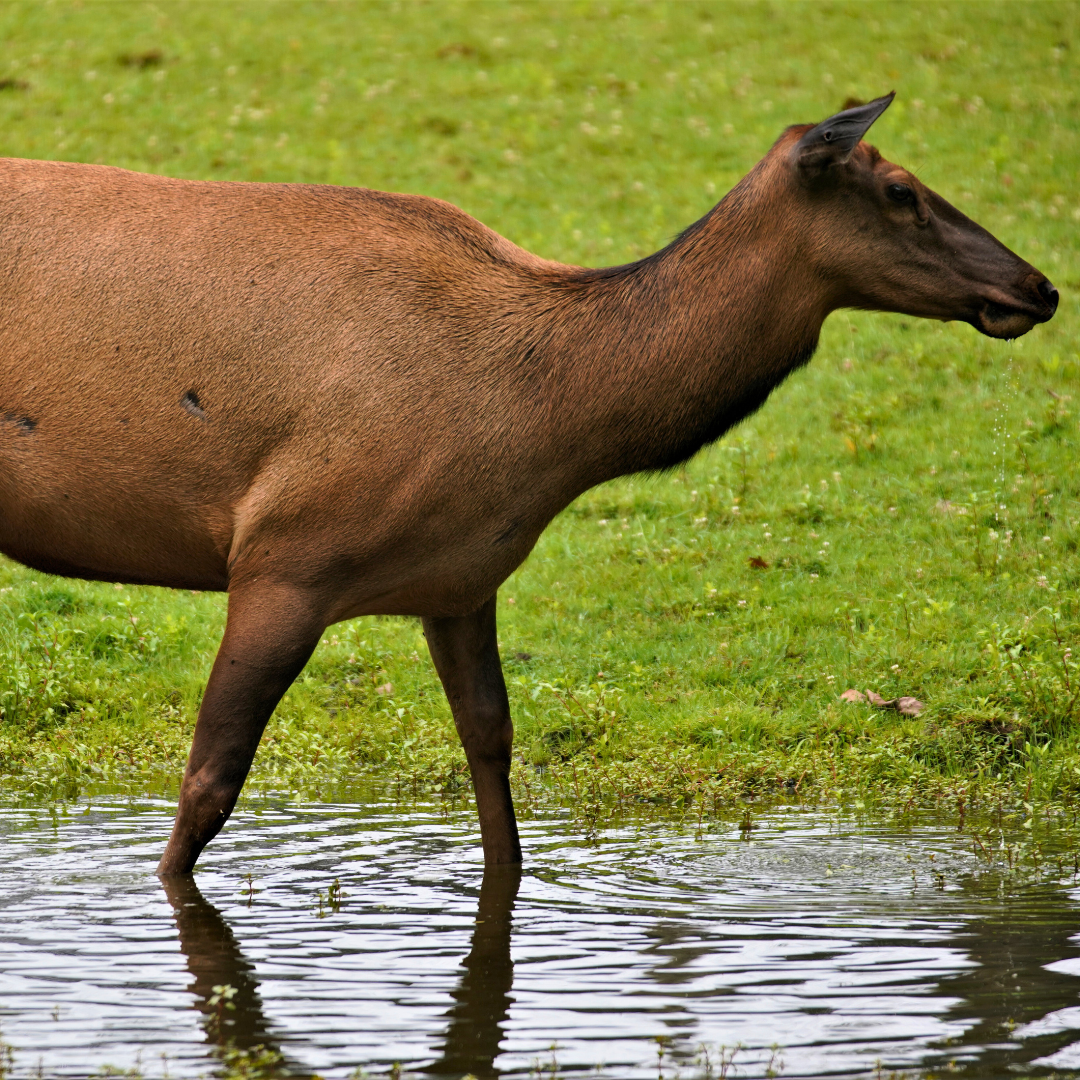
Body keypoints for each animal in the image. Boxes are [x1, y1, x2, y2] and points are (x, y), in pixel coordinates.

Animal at [0, 90, 1054, 868]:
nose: (1038, 286)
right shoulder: (282, 558)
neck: (543, 423)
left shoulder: (462, 580)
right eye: (904, 192)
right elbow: (207, 789)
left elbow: (494, 760)